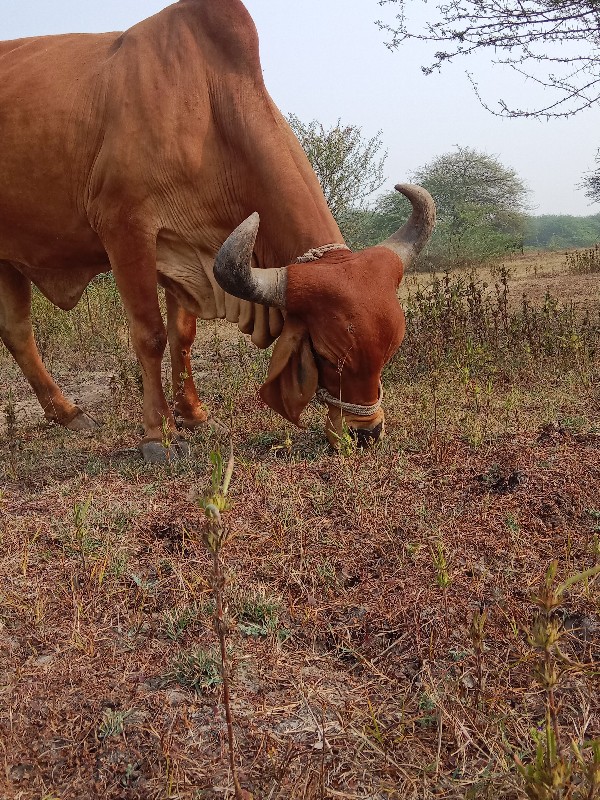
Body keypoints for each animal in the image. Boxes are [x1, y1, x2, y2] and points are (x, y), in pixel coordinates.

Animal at [0, 1, 434, 462]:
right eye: (327, 353)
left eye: (391, 349)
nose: (366, 433)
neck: (207, 106)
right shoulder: (126, 229)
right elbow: (150, 335)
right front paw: (159, 436)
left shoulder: (188, 251)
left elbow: (182, 335)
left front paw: (194, 415)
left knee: (17, 332)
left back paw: (67, 413)